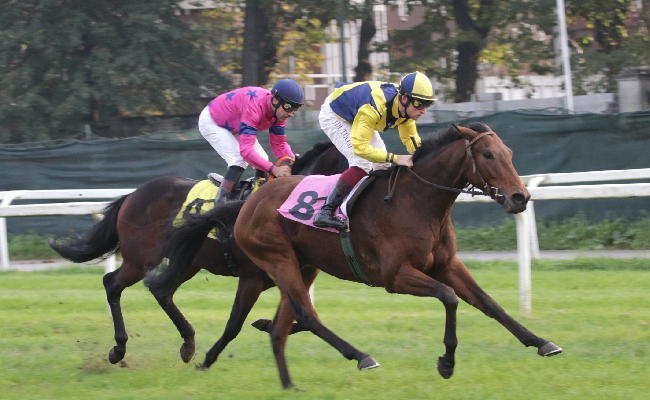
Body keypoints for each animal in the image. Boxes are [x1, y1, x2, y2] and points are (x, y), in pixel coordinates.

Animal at [47, 141, 342, 368]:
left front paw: (265, 324)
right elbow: (236, 323)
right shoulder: (252, 278)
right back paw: (119, 349)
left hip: (187, 261)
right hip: (141, 259)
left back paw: (187, 343)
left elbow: (304, 315)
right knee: (113, 284)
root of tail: (132, 195)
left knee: (161, 291)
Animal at [223, 122, 556, 388]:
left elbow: (488, 303)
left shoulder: (447, 265)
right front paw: (446, 362)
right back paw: (360, 356)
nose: (520, 197)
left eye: (508, 153)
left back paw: (286, 372)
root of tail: (251, 201)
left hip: (303, 265)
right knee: (306, 313)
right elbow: (449, 297)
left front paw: (540, 341)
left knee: (287, 320)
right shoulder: (395, 276)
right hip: (279, 259)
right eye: (487, 155)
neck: (418, 201)